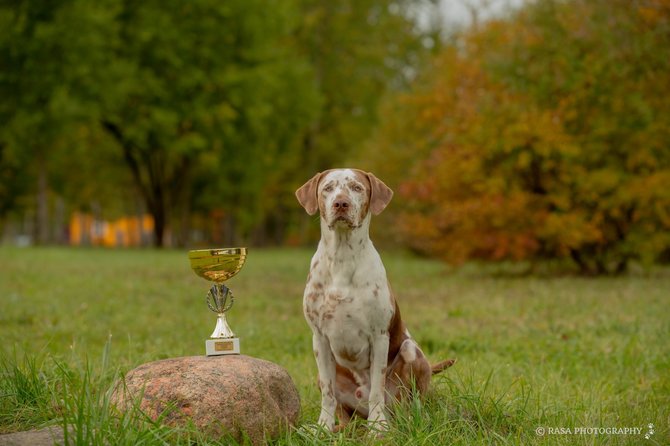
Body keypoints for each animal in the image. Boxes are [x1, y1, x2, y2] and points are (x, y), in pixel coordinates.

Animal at [296, 168, 456, 432]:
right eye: (328, 188)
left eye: (356, 187)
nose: (341, 203)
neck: (342, 257)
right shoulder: (319, 337)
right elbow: (328, 393)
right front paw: (322, 427)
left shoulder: (379, 335)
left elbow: (377, 389)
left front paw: (378, 427)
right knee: (344, 412)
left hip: (410, 352)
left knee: (410, 403)